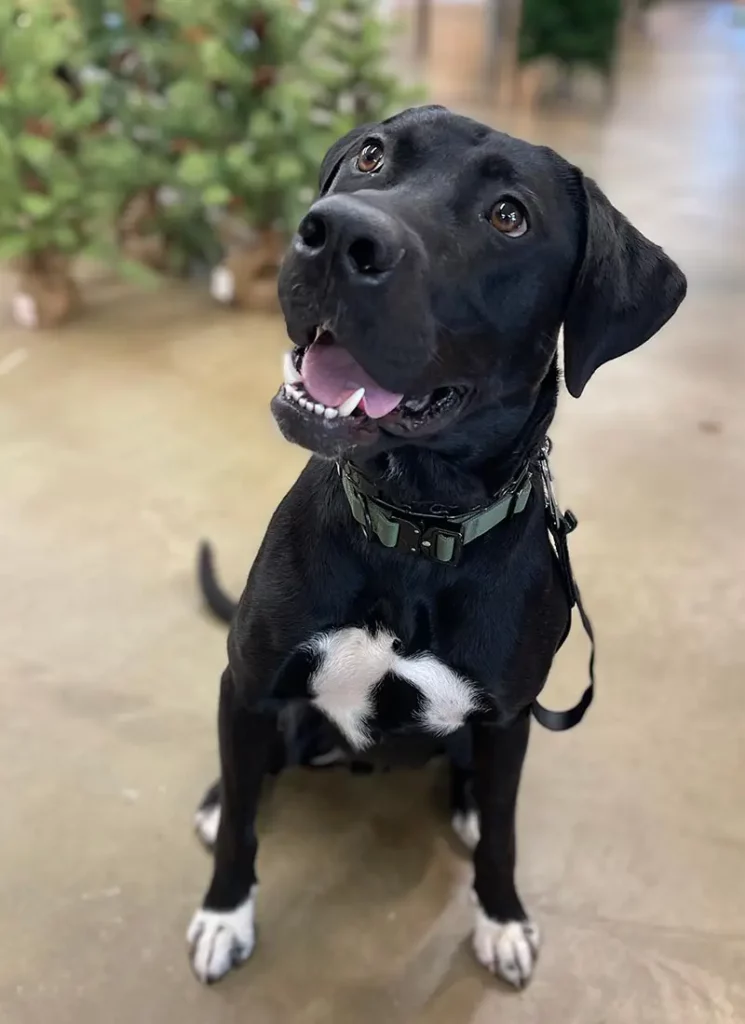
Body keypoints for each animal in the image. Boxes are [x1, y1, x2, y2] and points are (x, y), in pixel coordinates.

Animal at [187, 105, 687, 991]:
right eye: (370, 156)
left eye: (508, 216)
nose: (335, 235)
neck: (415, 529)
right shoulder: (247, 682)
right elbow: (245, 819)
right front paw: (224, 911)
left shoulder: (510, 718)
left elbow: (506, 836)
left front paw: (503, 916)